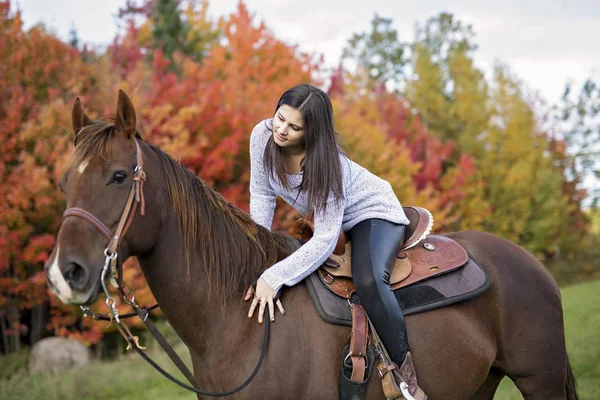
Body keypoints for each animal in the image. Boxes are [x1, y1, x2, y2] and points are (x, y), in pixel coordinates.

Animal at [44, 90, 580, 400]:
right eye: (64, 181)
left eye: (119, 176)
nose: (64, 274)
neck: (235, 326)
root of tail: (528, 261)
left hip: (540, 380)